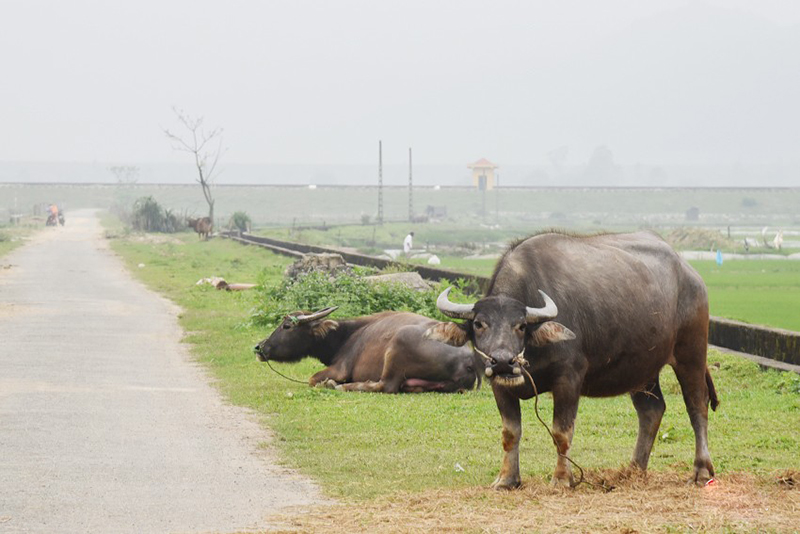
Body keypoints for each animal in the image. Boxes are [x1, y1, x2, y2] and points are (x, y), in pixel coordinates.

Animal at [255, 310, 482, 394]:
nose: (260, 347)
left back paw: (337, 386)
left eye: (287, 326)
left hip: (396, 347)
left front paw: (329, 382)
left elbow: (312, 379)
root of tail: (469, 360)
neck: (346, 335)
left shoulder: (340, 369)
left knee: (385, 386)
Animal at [432, 230, 720, 490]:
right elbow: (510, 433)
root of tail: (690, 274)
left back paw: (701, 471)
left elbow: (561, 432)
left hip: (691, 353)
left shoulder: (569, 379)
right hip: (642, 369)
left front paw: (562, 479)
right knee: (651, 410)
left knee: (697, 405)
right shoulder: (500, 387)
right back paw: (633, 470)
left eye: (521, 325)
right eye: (479, 324)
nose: (503, 362)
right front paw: (507, 479)